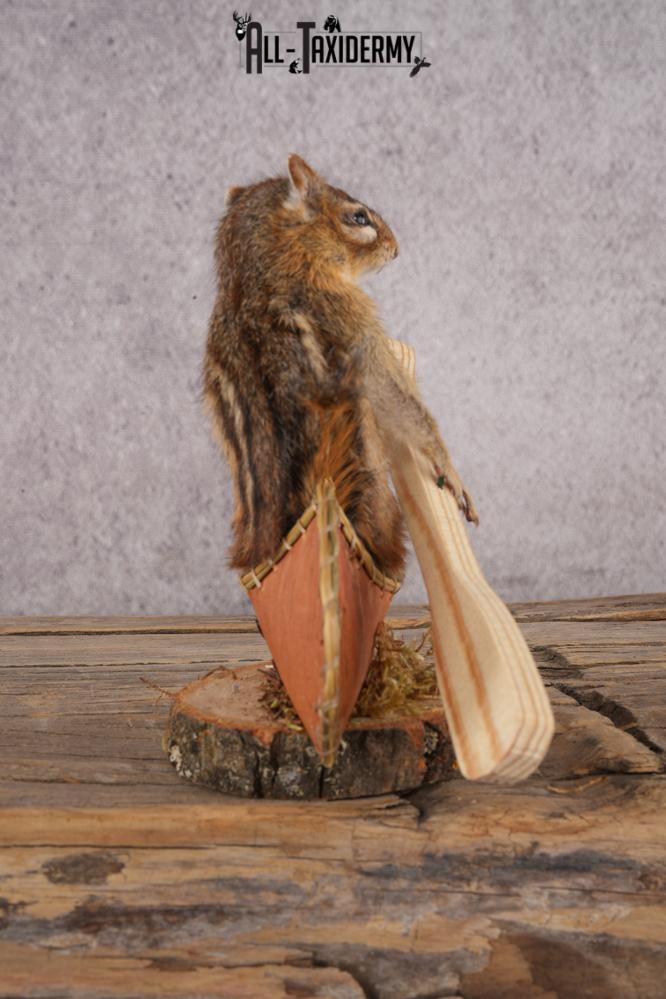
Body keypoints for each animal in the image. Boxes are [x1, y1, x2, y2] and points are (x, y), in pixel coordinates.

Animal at [203, 154, 478, 577]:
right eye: (359, 217)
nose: (396, 249)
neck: (256, 276)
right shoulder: (357, 326)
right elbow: (401, 401)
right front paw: (452, 473)